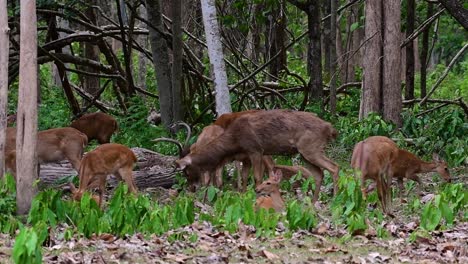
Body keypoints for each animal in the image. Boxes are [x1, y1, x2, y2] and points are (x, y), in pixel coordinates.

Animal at [174, 109, 338, 202]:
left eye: (186, 171)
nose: (192, 188)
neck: (234, 143)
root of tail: (330, 128)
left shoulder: (256, 150)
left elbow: (257, 177)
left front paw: (259, 196)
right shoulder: (246, 156)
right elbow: (245, 177)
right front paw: (243, 196)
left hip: (311, 148)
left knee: (334, 167)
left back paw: (335, 198)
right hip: (304, 153)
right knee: (319, 174)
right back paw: (314, 202)